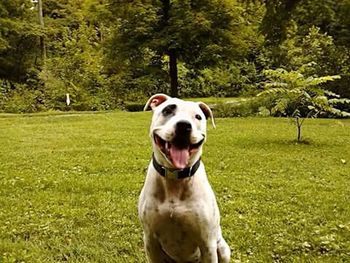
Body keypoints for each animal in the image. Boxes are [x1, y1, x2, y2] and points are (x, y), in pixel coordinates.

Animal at [138, 95, 231, 263]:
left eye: (198, 117)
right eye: (167, 110)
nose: (184, 125)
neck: (175, 178)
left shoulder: (207, 243)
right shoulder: (150, 241)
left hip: (222, 248)